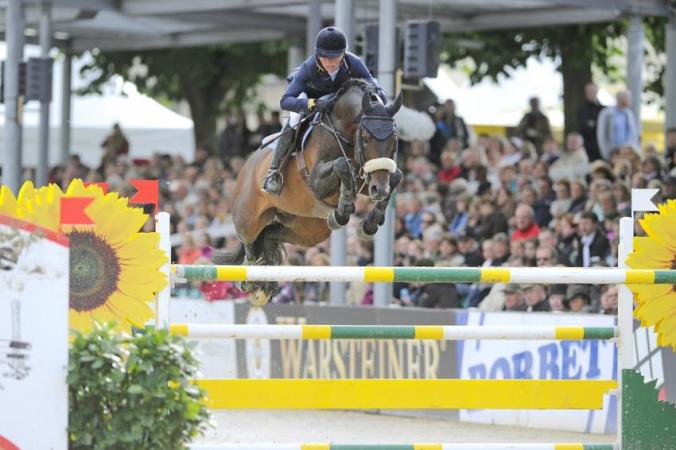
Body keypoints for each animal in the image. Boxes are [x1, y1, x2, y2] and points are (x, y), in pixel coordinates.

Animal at [214, 79, 402, 305]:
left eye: (394, 139)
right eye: (365, 138)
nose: (379, 189)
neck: (344, 132)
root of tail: (246, 165)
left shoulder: (369, 177)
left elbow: (396, 176)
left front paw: (370, 223)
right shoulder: (316, 181)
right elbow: (342, 165)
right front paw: (343, 210)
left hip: (307, 229)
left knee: (269, 235)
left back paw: (266, 284)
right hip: (249, 218)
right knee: (250, 240)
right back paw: (252, 280)